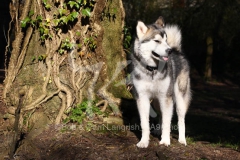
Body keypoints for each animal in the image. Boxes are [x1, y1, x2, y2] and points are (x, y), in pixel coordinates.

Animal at [131, 16, 191, 148]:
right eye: (157, 41)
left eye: (165, 40)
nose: (169, 50)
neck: (152, 70)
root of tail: (177, 50)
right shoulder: (142, 97)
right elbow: (145, 123)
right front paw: (144, 141)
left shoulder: (166, 97)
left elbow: (167, 123)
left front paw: (165, 141)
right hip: (157, 101)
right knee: (161, 115)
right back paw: (158, 130)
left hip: (179, 99)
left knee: (181, 119)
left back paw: (182, 139)